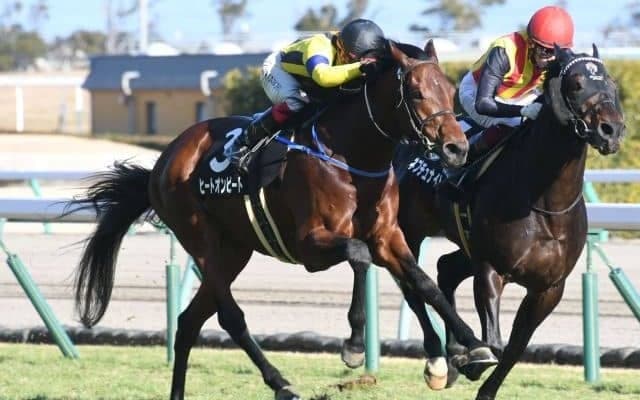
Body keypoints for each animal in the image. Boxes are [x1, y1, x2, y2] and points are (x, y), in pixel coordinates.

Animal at [67, 39, 499, 400]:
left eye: (450, 89)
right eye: (416, 93)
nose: (457, 148)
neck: (352, 156)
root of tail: (163, 161)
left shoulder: (388, 236)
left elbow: (423, 282)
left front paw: (469, 349)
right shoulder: (312, 245)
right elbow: (359, 257)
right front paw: (354, 347)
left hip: (234, 250)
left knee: (189, 321)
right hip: (201, 240)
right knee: (230, 316)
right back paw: (281, 383)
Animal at [388, 44, 625, 399]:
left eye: (610, 82)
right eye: (576, 84)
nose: (612, 129)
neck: (545, 203)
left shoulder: (549, 288)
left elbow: (515, 349)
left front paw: (475, 373)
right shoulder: (492, 268)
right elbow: (496, 344)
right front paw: (472, 360)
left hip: (468, 245)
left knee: (446, 269)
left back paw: (454, 352)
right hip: (407, 234)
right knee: (414, 286)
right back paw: (440, 363)